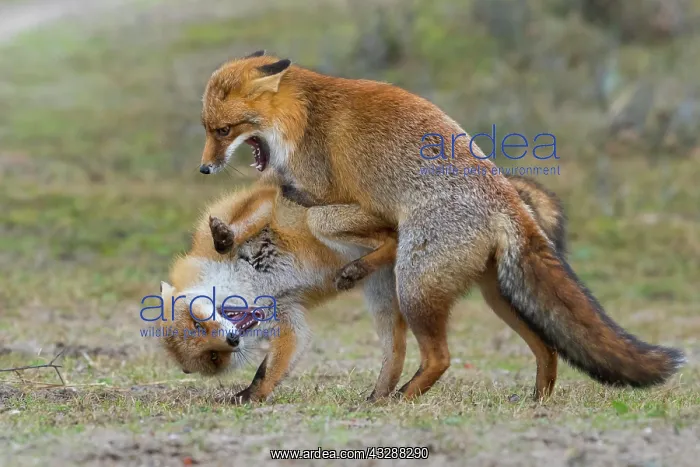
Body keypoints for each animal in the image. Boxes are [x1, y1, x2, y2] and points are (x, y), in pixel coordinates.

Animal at [161, 177, 569, 402]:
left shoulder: (259, 206)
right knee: (399, 354)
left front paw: (225, 236)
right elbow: (270, 370)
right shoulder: (285, 313)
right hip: (405, 299)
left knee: (388, 236)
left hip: (330, 218)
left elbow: (240, 225)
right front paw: (250, 397)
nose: (231, 341)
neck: (254, 284)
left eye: (198, 323)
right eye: (213, 357)